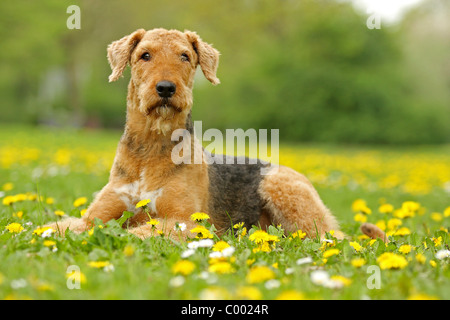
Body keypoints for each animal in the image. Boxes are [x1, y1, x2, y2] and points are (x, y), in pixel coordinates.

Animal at [45, 28, 384, 242]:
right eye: (144, 55)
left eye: (184, 56)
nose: (166, 88)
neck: (151, 148)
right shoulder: (96, 216)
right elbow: (65, 226)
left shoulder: (184, 221)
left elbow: (138, 232)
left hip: (284, 191)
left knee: (333, 237)